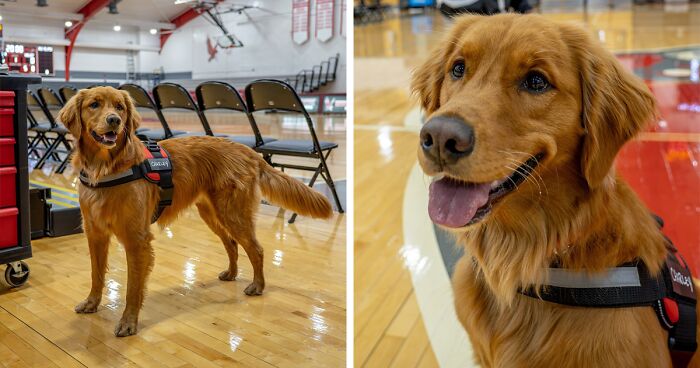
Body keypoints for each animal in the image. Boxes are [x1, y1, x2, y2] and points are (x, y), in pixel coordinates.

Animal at [57, 85, 334, 336]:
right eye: (94, 104)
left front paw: (128, 322)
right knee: (232, 244)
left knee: (256, 249)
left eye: (120, 107)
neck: (106, 167)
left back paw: (257, 285)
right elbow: (96, 275)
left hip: (233, 214)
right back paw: (232, 274)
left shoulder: (136, 239)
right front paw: (92, 303)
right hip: (212, 214)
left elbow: (132, 287)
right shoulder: (95, 234)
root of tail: (247, 151)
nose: (114, 120)